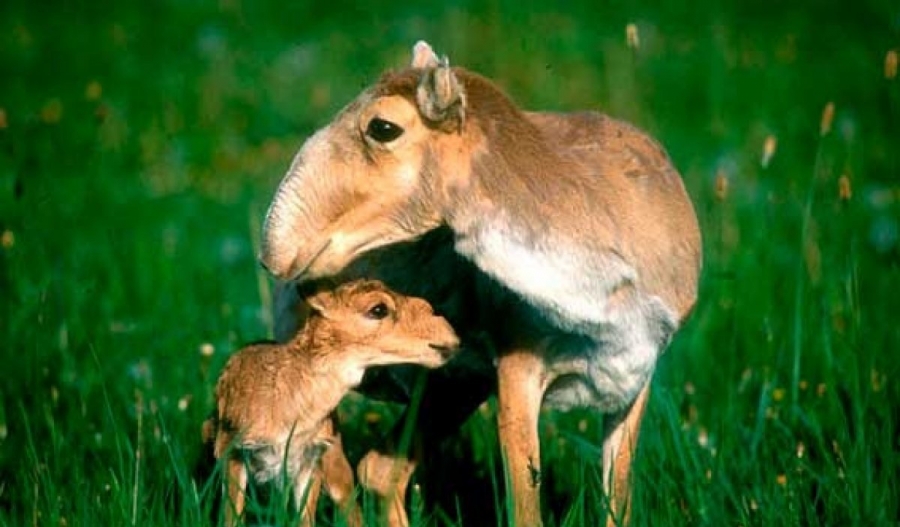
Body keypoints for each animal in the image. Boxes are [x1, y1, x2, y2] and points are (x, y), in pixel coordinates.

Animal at [260, 42, 704, 527]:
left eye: (383, 126)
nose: (277, 250)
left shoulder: (634, 381)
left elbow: (617, 503)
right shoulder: (518, 371)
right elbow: (525, 507)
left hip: (452, 386)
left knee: (381, 469)